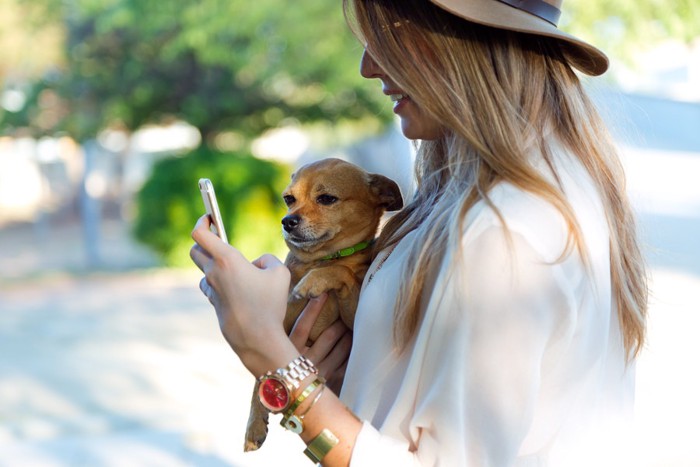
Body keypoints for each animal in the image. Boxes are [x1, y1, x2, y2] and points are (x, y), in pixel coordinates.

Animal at [243, 159, 402, 452]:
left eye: (327, 198)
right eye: (288, 199)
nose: (287, 220)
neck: (322, 258)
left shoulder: (353, 319)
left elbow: (342, 272)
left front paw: (313, 282)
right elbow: (261, 377)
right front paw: (254, 425)